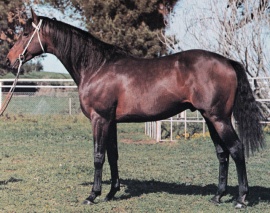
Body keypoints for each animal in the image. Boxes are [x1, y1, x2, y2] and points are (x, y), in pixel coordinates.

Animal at [5, 9, 264, 207]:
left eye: (26, 33)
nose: (9, 59)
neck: (97, 67)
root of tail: (227, 61)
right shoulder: (110, 121)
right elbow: (113, 155)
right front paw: (111, 193)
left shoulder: (99, 119)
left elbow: (98, 156)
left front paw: (93, 195)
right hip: (210, 119)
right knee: (222, 154)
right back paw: (218, 196)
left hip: (219, 118)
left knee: (237, 149)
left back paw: (241, 199)